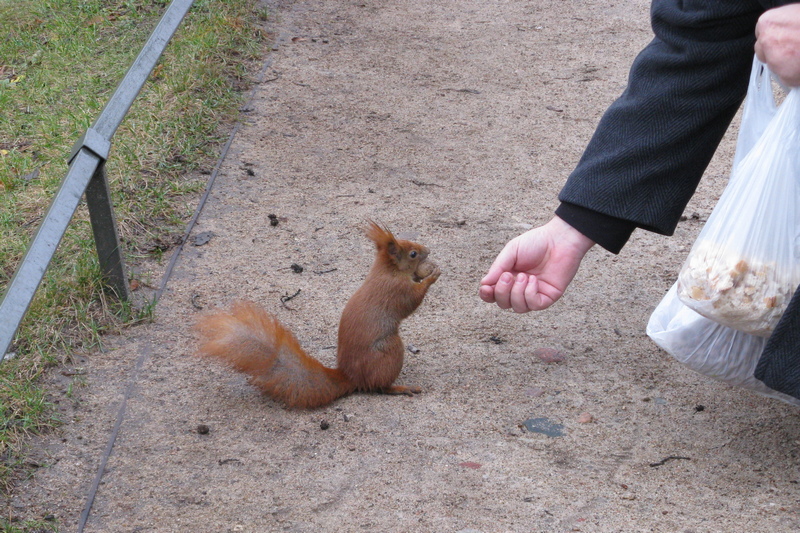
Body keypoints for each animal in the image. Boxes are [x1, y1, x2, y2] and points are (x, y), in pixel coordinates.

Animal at [196, 220, 440, 408]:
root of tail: (351, 377)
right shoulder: (396, 290)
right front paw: (432, 276)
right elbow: (411, 301)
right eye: (413, 253)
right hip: (389, 351)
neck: (387, 271)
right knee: (379, 387)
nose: (428, 250)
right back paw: (401, 387)